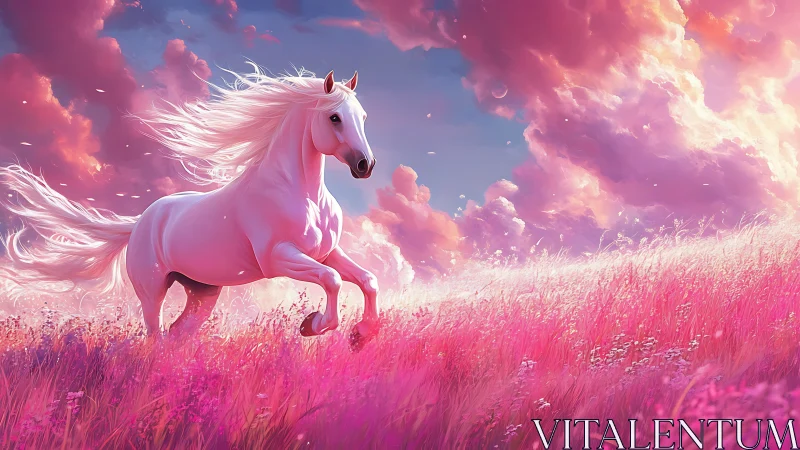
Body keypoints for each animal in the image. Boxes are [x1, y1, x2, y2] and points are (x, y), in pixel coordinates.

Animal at [0, 67, 381, 351]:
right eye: (334, 117)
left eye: (363, 116)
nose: (366, 165)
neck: (301, 192)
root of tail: (139, 223)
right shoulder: (279, 257)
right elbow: (332, 280)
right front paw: (312, 325)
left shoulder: (326, 253)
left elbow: (367, 279)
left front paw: (361, 335)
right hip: (153, 290)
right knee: (156, 334)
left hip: (202, 292)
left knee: (178, 332)